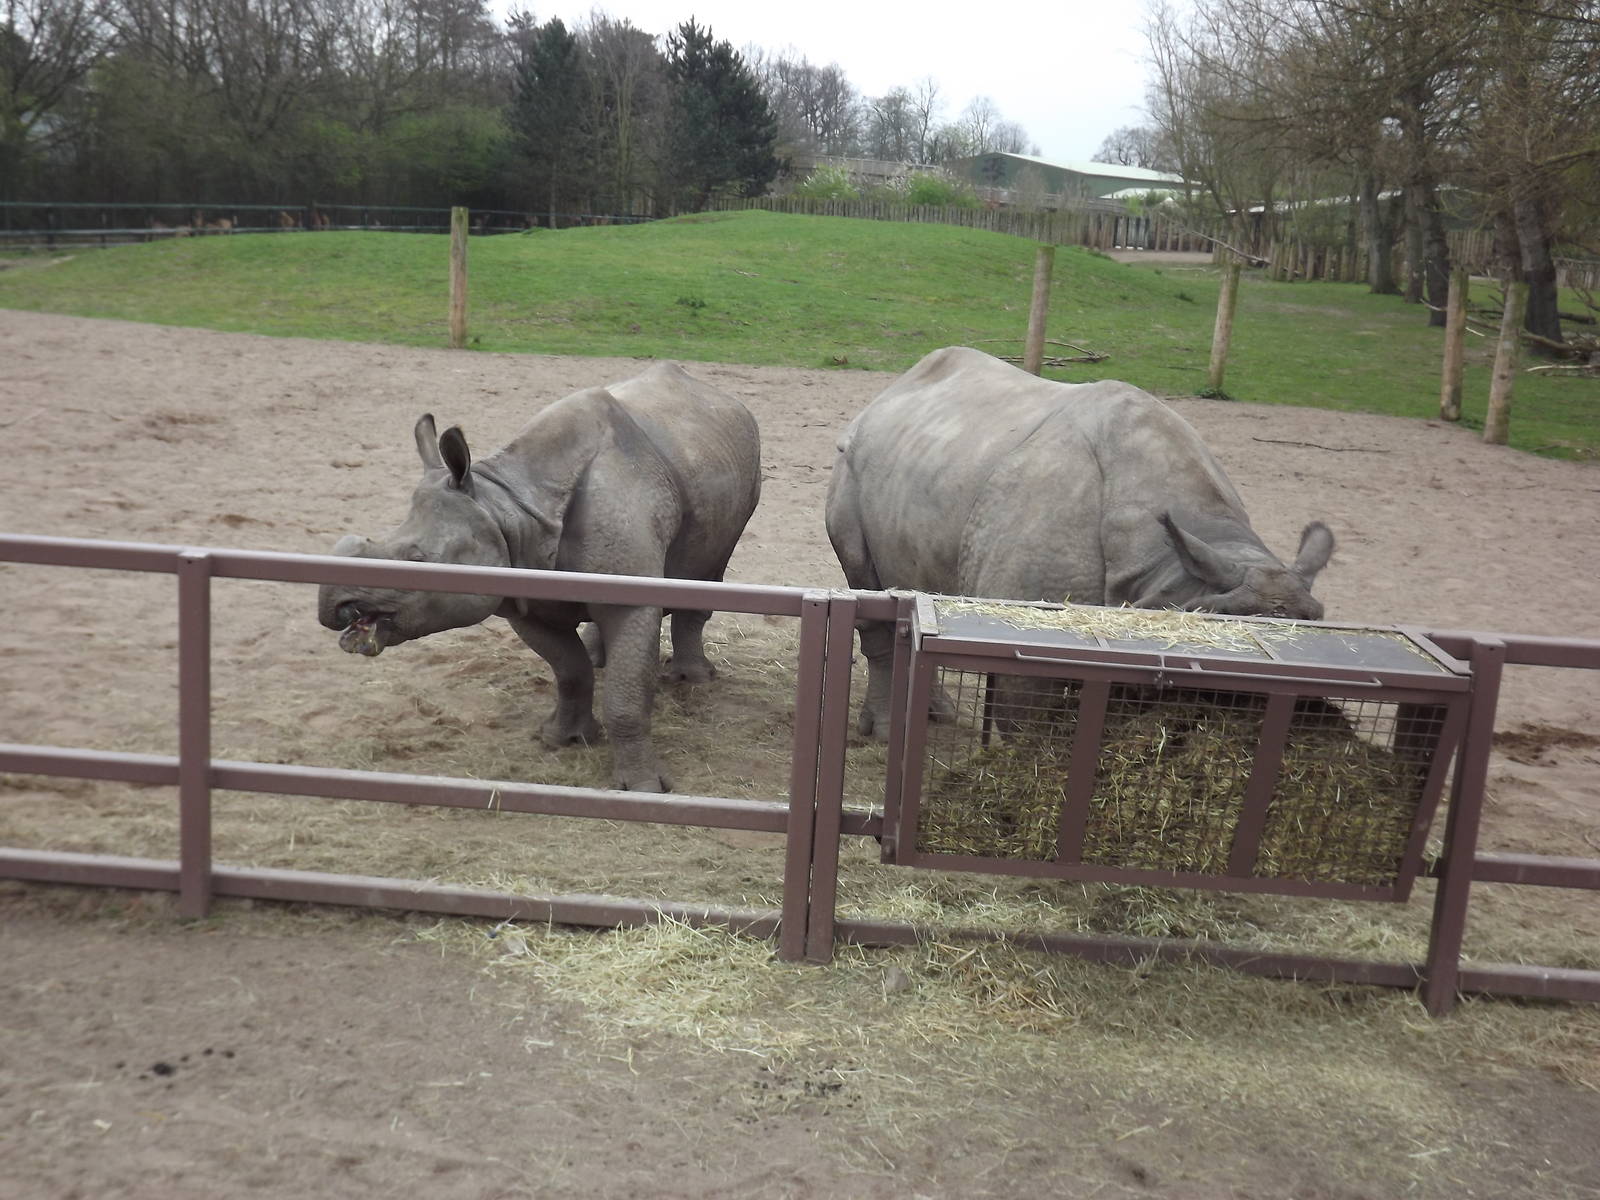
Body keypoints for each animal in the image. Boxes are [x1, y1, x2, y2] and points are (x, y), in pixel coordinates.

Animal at [318, 362, 762, 791]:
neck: (511, 508)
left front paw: (645, 788)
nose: (333, 604)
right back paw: (601, 657)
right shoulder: (521, 600)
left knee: (712, 564)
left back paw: (692, 680)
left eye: (417, 559)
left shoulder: (630, 601)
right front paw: (562, 739)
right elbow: (570, 671)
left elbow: (626, 695)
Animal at [825, 346, 1335, 736]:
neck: (1168, 565)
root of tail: (891, 390)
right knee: (868, 583)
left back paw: (939, 716)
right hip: (849, 463)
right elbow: (1028, 727)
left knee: (920, 594)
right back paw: (885, 732)